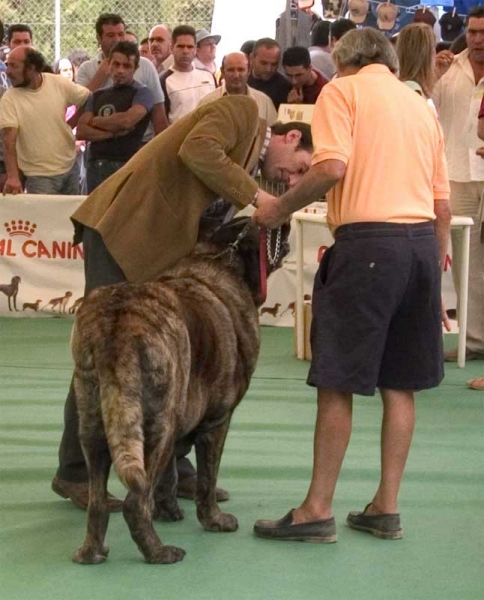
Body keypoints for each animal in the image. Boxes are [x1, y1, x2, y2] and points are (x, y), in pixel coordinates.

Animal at [70, 218, 290, 564]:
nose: (285, 222)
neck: (217, 259)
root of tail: (117, 321)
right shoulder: (217, 422)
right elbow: (207, 479)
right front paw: (214, 520)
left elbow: (170, 476)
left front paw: (168, 510)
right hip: (158, 424)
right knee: (135, 502)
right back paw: (159, 552)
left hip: (94, 423)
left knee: (98, 501)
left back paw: (91, 552)